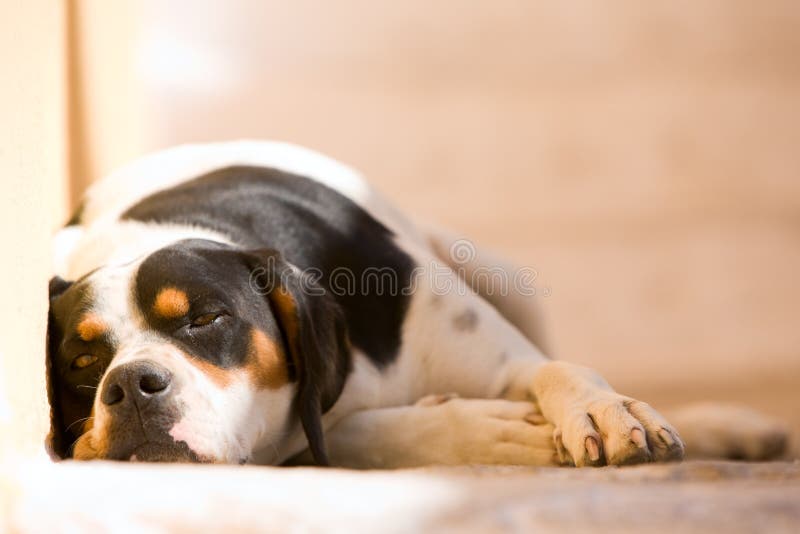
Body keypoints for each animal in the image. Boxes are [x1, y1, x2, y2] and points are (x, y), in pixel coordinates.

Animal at [47, 140, 792, 466]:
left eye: (205, 319)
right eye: (81, 363)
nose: (132, 387)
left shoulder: (497, 358)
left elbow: (560, 373)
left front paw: (602, 410)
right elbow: (347, 432)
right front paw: (489, 434)